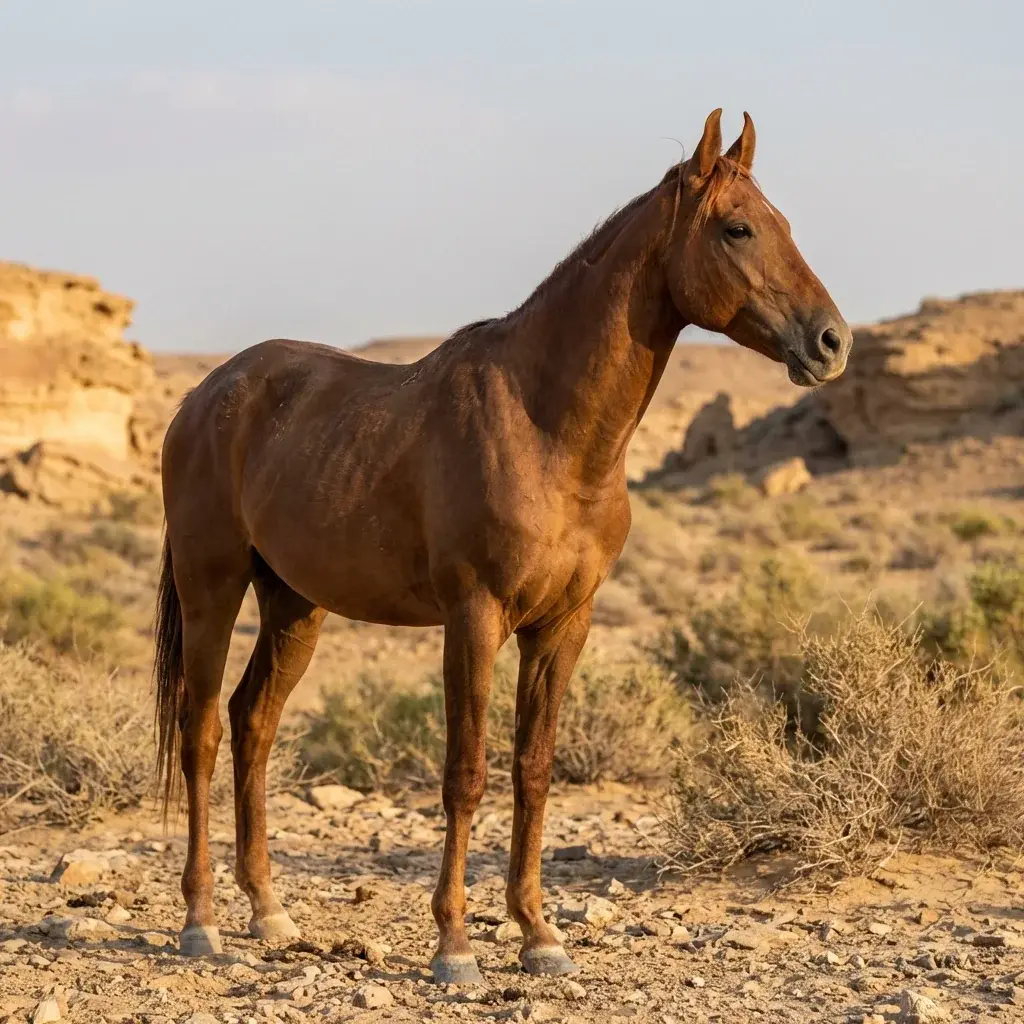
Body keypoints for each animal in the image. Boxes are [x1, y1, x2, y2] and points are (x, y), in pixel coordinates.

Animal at [153, 108, 851, 982]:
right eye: (738, 228)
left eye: (783, 223)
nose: (832, 343)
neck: (546, 426)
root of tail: (204, 395)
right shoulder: (474, 617)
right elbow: (467, 774)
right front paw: (454, 945)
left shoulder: (563, 625)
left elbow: (534, 771)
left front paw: (538, 933)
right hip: (211, 587)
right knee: (202, 731)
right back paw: (200, 921)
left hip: (294, 606)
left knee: (253, 723)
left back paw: (269, 911)